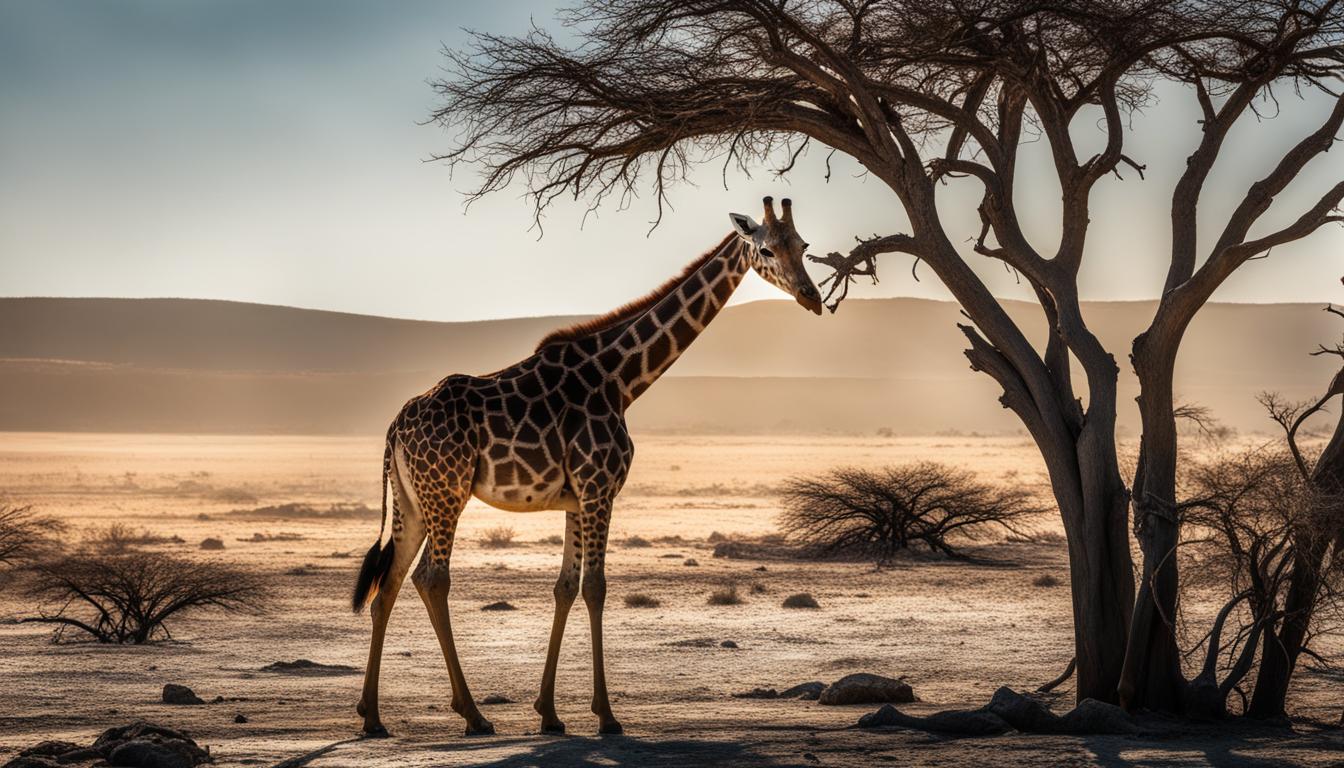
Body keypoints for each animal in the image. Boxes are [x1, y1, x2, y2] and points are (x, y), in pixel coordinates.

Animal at [350, 197, 822, 738]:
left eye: (803, 245)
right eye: (766, 249)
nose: (812, 297)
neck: (621, 379)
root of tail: (395, 429)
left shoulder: (576, 498)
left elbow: (565, 588)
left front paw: (550, 714)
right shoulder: (600, 487)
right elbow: (596, 588)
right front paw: (607, 716)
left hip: (412, 500)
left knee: (388, 585)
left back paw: (372, 717)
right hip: (446, 493)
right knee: (432, 578)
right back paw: (472, 715)